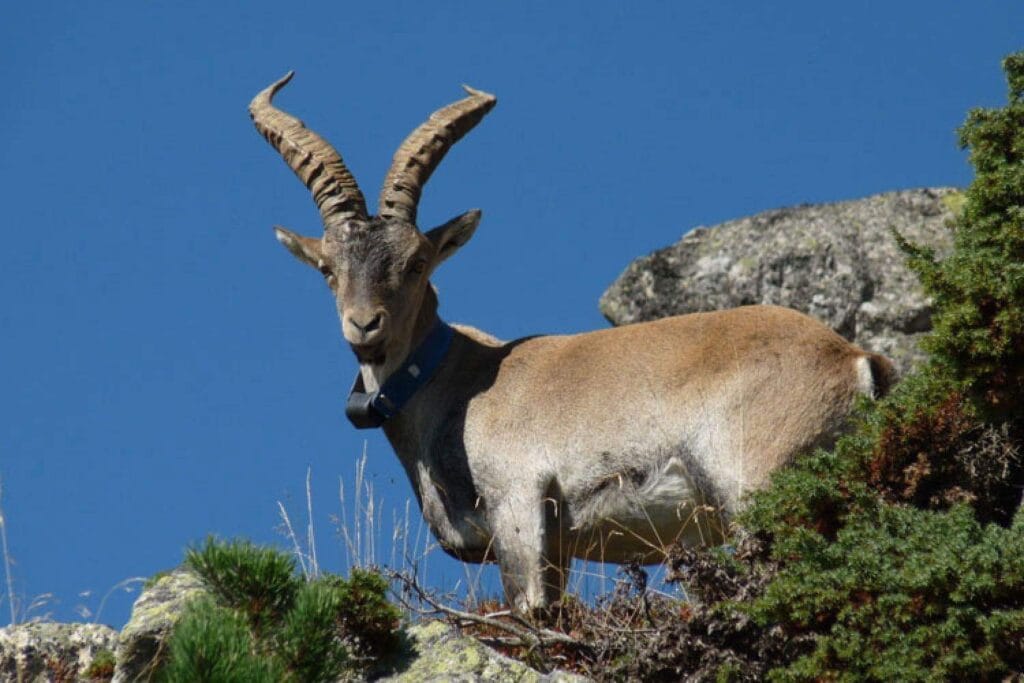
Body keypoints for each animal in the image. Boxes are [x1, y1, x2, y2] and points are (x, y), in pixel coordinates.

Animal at [250, 72, 895, 614]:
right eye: (328, 268)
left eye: (416, 262)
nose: (365, 327)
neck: (457, 385)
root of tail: (855, 361)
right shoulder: (557, 548)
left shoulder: (520, 507)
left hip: (755, 484)